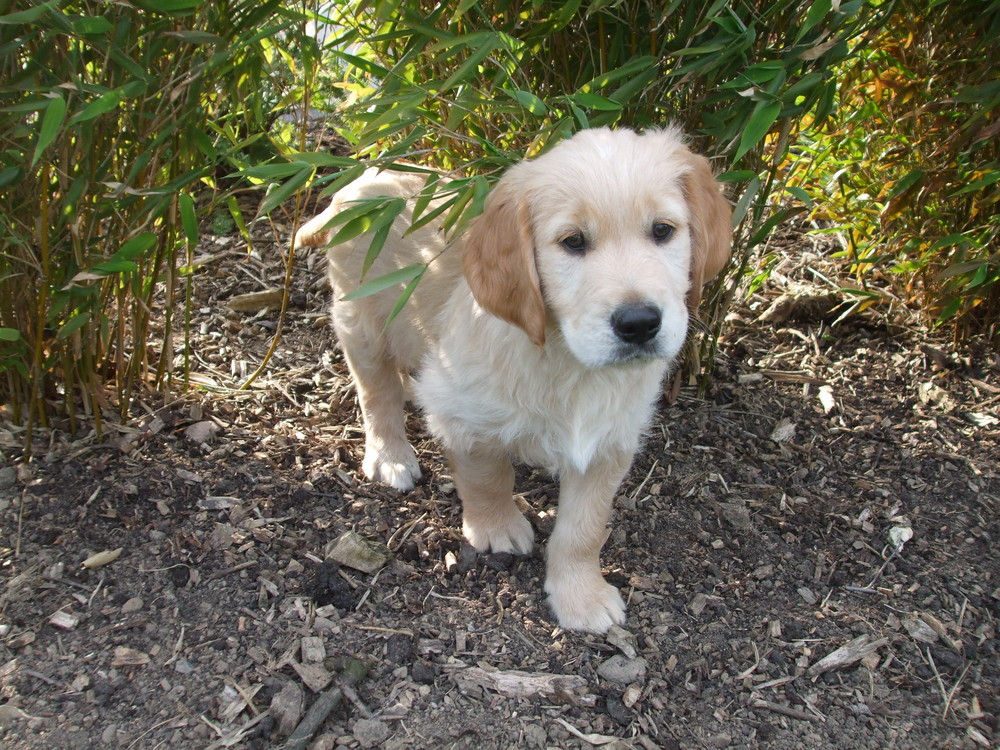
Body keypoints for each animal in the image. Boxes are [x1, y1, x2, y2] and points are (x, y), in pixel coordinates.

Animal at [292, 129, 732, 636]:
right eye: (572, 242)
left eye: (662, 231)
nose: (639, 323)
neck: (568, 362)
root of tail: (363, 179)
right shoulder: (462, 411)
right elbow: (486, 476)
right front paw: (497, 528)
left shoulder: (610, 440)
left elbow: (583, 529)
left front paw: (580, 595)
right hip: (361, 320)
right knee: (376, 393)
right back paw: (391, 455)